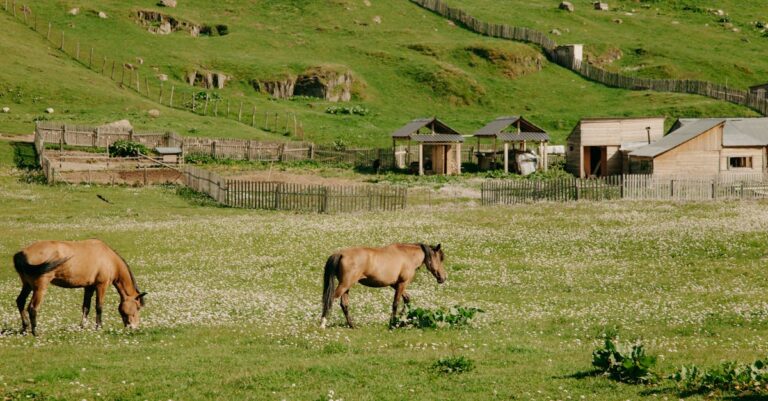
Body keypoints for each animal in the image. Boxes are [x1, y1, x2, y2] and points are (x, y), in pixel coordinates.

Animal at [12, 238, 147, 334]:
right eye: (138, 307)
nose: (134, 327)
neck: (109, 259)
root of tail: (21, 253)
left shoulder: (89, 287)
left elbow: (86, 307)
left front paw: (82, 326)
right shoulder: (101, 286)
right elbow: (99, 307)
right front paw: (99, 327)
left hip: (27, 285)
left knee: (20, 301)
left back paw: (25, 328)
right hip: (40, 288)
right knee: (32, 307)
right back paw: (35, 332)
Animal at [320, 242, 448, 326]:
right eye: (440, 259)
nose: (443, 277)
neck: (407, 255)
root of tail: (341, 254)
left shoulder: (395, 284)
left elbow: (407, 299)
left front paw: (401, 317)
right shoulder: (402, 283)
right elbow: (396, 303)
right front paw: (393, 322)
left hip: (346, 287)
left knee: (344, 304)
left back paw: (352, 325)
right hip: (345, 285)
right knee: (330, 300)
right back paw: (322, 324)